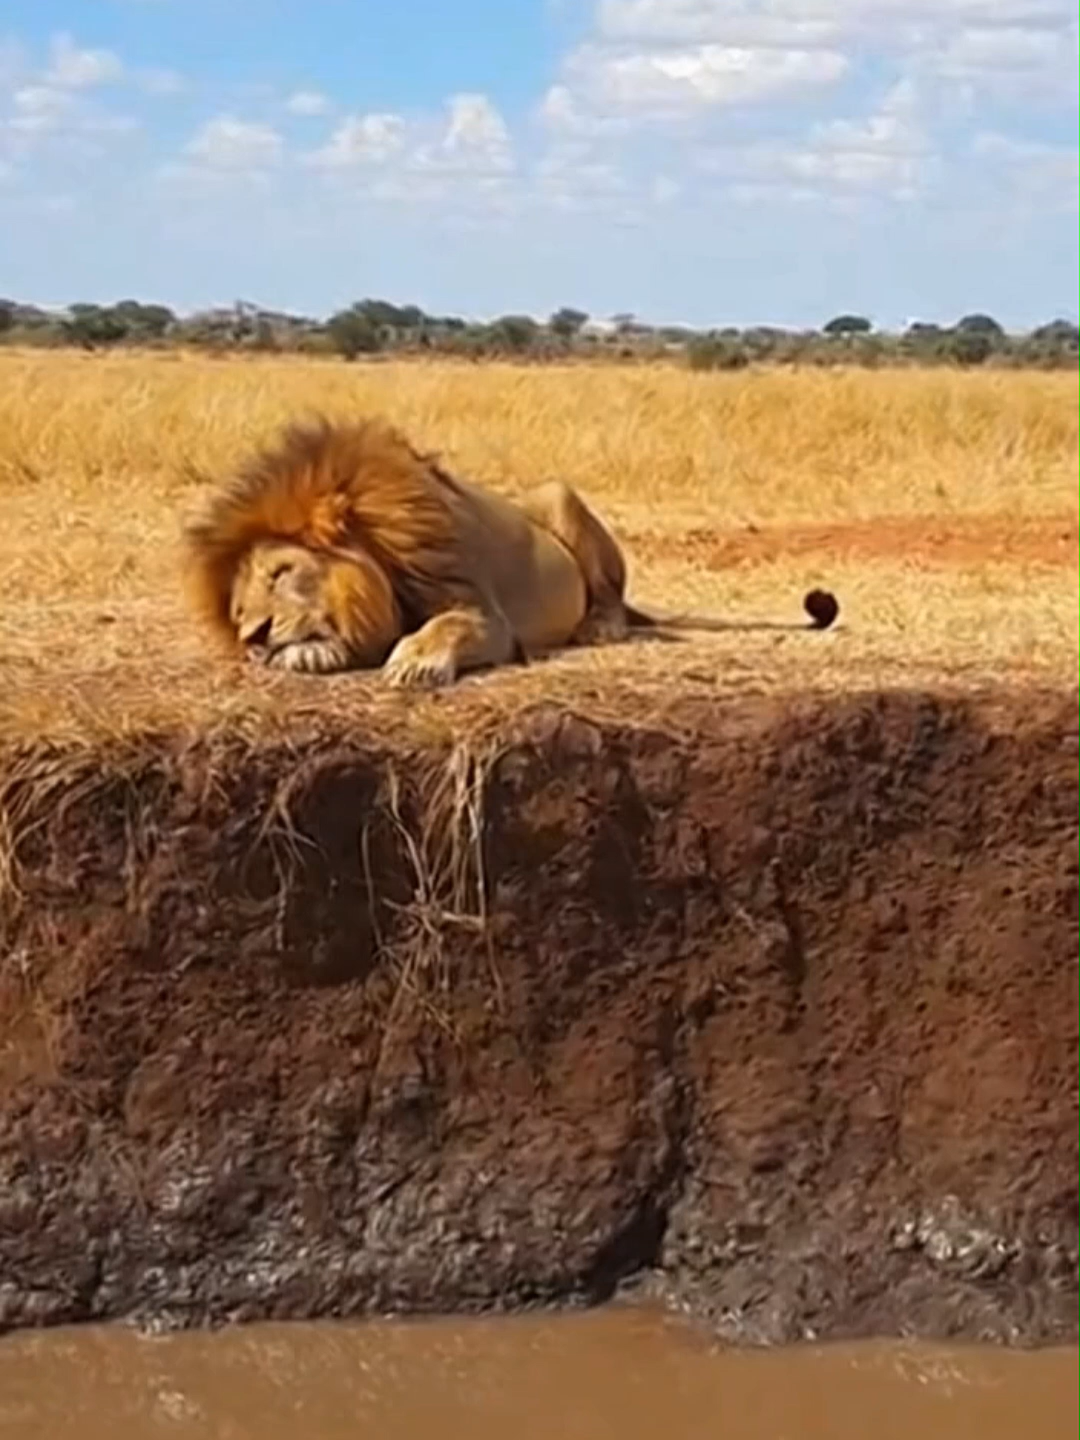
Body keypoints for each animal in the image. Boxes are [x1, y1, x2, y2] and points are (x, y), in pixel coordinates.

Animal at [182, 414, 839, 689]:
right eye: (236, 610)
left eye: (283, 572)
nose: (254, 635)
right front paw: (303, 655)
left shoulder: (483, 615)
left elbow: (447, 627)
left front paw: (415, 662)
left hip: (557, 495)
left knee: (612, 601)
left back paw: (599, 627)